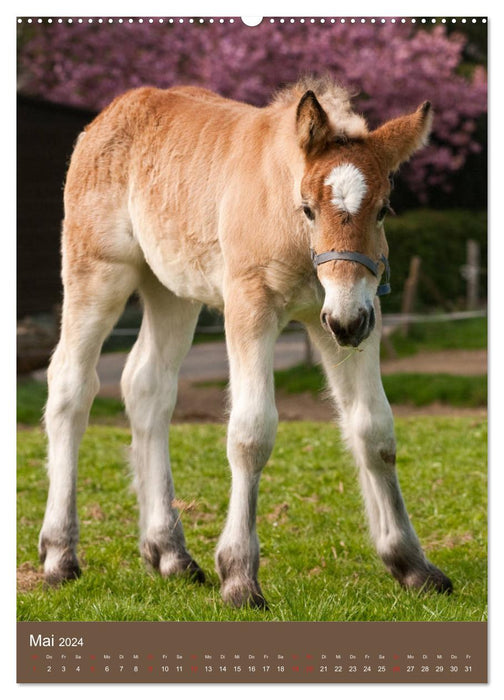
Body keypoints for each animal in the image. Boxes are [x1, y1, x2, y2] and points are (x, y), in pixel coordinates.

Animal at [40, 79, 452, 608]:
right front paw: (239, 577)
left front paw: (412, 565)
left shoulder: (356, 315)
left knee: (147, 387)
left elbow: (375, 430)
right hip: (98, 270)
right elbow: (251, 432)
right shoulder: (249, 306)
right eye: (308, 208)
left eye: (384, 210)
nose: (345, 323)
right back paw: (59, 556)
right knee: (71, 385)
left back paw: (170, 554)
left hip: (171, 290)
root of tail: (114, 111)